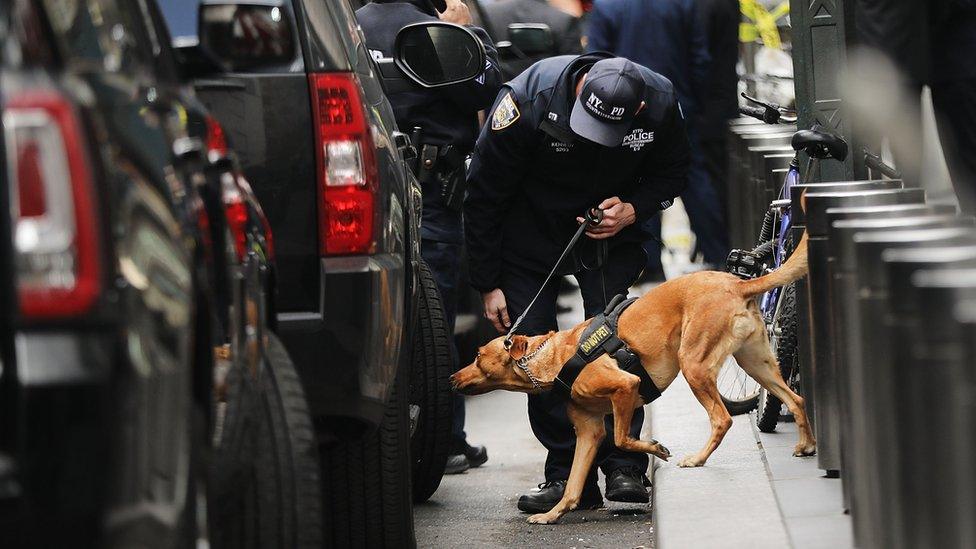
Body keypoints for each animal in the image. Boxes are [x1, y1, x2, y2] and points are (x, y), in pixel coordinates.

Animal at [456, 234, 816, 524]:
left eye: (477, 356)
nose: (452, 378)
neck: (556, 358)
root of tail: (737, 283)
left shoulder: (625, 389)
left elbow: (621, 439)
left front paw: (656, 449)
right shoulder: (588, 431)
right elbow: (573, 484)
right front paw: (553, 514)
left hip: (694, 366)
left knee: (722, 419)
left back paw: (697, 459)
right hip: (756, 364)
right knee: (796, 398)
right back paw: (806, 445)